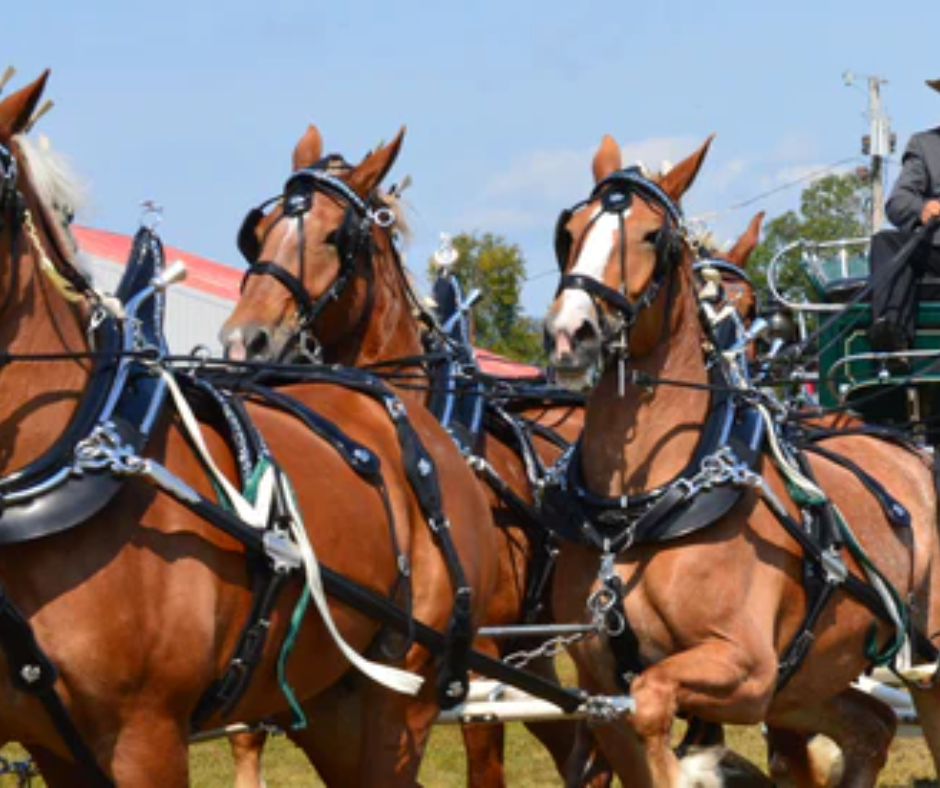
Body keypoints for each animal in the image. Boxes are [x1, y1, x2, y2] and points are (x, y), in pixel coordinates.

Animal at [0, 71, 499, 787]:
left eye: (337, 237)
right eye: (254, 234)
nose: (246, 339)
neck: (76, 453)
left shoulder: (146, 735)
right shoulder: (54, 746)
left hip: (401, 700)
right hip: (331, 705)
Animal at [542, 133, 940, 787]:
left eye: (652, 236)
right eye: (570, 230)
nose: (570, 333)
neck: (638, 509)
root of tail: (915, 447)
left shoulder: (747, 669)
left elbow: (653, 701)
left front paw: (694, 767)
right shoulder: (604, 691)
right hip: (810, 678)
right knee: (873, 726)